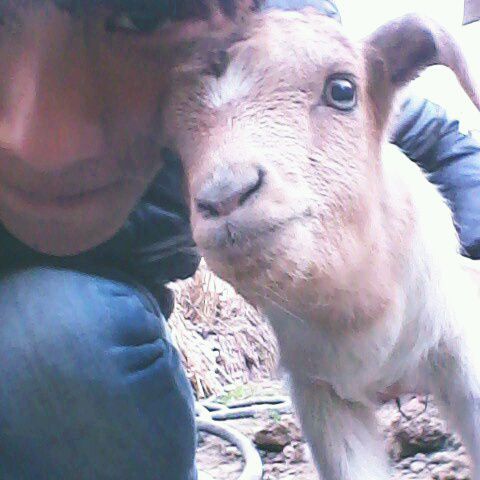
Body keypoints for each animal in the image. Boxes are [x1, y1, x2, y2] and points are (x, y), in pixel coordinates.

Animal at [161, 7, 480, 480]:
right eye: (172, 146)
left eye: (343, 90)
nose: (225, 196)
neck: (363, 317)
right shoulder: (319, 393)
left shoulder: (460, 353)